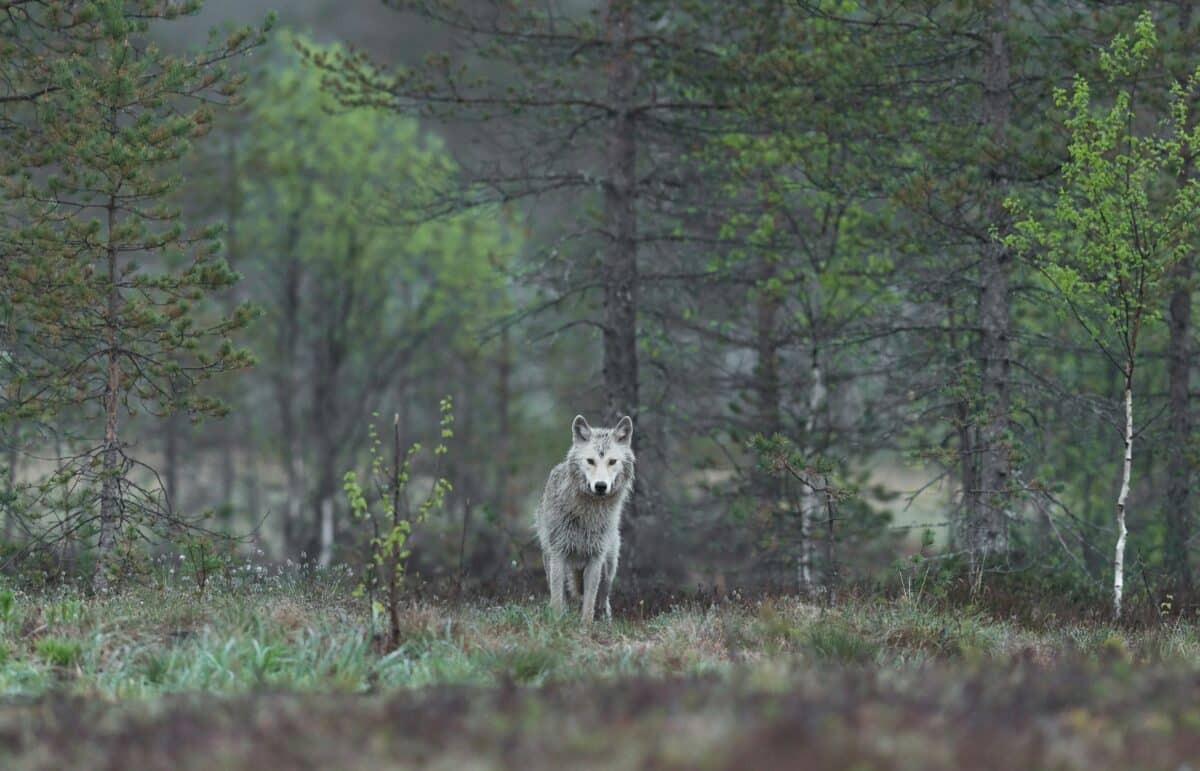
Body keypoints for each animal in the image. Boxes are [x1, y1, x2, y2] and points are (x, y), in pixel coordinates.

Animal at [530, 410, 633, 619]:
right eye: (590, 461)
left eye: (612, 461)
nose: (600, 486)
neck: (587, 514)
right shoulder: (558, 554)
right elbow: (557, 600)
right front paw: (557, 622)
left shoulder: (596, 558)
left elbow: (589, 603)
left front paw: (586, 625)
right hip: (549, 559)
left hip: (609, 566)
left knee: (603, 597)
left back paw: (605, 618)